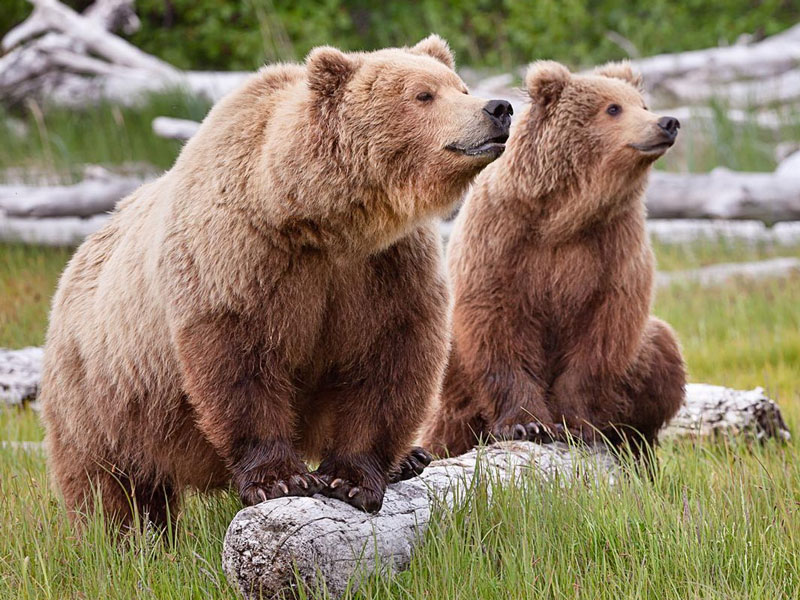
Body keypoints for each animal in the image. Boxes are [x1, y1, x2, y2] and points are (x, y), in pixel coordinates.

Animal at [39, 35, 512, 528]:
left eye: (459, 86)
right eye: (423, 95)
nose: (498, 108)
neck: (324, 223)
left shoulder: (387, 267)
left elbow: (389, 360)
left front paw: (351, 480)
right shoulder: (243, 260)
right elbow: (240, 365)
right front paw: (280, 480)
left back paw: (410, 459)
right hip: (104, 394)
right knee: (111, 485)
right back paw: (121, 531)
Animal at [424, 59, 688, 454]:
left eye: (642, 104)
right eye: (613, 108)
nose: (667, 122)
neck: (565, 215)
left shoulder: (614, 244)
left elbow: (602, 337)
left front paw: (574, 424)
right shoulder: (502, 238)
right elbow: (496, 325)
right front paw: (526, 424)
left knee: (662, 350)